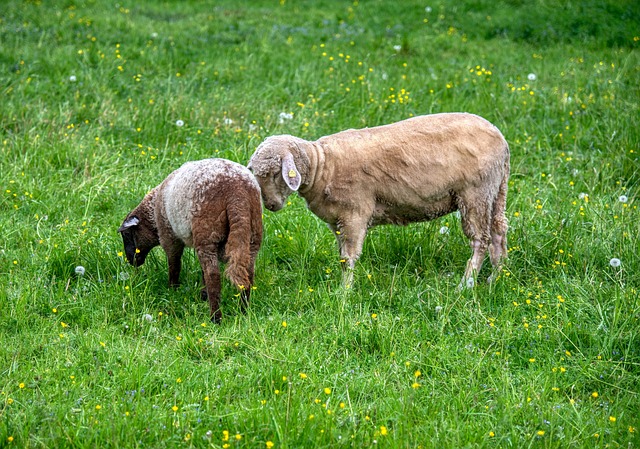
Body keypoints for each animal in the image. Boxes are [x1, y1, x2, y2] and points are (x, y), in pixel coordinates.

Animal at [117, 158, 262, 322]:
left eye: (126, 235)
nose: (131, 261)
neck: (152, 212)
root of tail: (237, 192)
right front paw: (202, 295)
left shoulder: (169, 238)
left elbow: (174, 266)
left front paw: (173, 290)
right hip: (252, 237)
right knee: (247, 275)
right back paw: (244, 312)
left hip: (207, 236)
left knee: (213, 276)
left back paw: (215, 318)